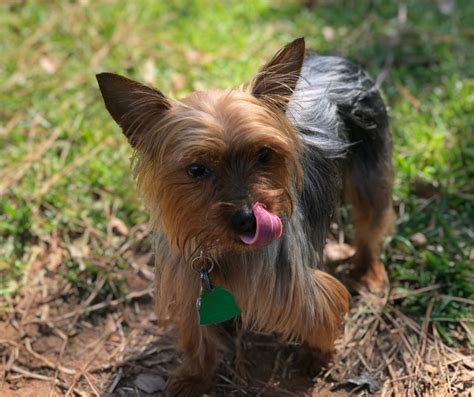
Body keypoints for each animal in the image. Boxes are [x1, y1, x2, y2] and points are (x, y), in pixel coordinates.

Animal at [97, 36, 396, 392]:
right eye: (196, 170)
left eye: (264, 155)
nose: (248, 219)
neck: (225, 250)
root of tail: (334, 58)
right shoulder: (189, 284)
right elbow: (197, 336)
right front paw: (194, 377)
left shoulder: (292, 284)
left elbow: (321, 313)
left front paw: (316, 356)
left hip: (370, 167)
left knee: (370, 222)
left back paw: (368, 270)